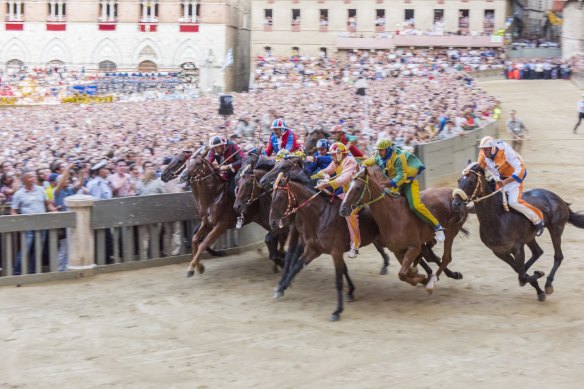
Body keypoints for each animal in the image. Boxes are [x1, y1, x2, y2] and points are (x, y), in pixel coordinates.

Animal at [338, 165, 470, 292]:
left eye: (358, 188)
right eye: (348, 186)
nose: (343, 209)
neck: (393, 216)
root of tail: (454, 193)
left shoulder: (413, 247)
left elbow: (403, 273)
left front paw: (422, 277)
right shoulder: (398, 250)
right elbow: (405, 273)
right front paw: (419, 276)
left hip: (451, 232)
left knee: (446, 258)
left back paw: (433, 282)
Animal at [452, 161, 584, 300]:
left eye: (471, 182)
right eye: (459, 180)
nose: (456, 203)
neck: (497, 218)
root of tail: (560, 200)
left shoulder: (518, 248)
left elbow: (522, 275)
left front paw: (539, 275)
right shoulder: (499, 252)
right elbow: (519, 272)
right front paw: (538, 288)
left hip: (556, 229)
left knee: (558, 256)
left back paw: (548, 284)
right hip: (530, 236)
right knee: (537, 252)